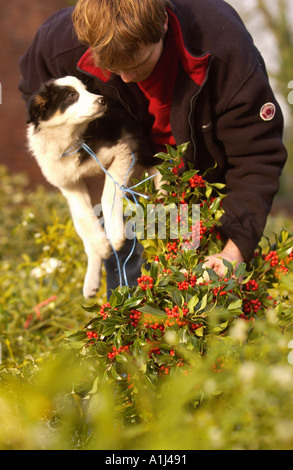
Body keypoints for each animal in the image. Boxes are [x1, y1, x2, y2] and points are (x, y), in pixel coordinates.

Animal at [26, 76, 160, 298]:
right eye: (71, 95)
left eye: (87, 89)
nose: (102, 100)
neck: (71, 138)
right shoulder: (69, 182)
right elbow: (83, 215)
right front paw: (103, 245)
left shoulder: (123, 151)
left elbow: (109, 194)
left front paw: (115, 236)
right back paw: (91, 280)